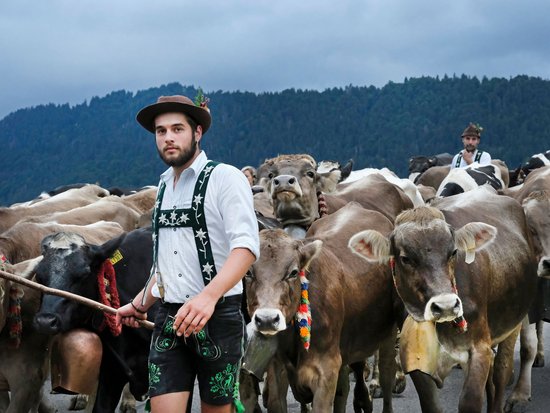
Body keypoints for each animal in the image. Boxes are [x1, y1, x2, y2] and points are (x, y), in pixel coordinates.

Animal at [248, 203, 404, 412]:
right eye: (248, 272)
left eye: (293, 272)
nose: (267, 319)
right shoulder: (276, 371)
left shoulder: (325, 372)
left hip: (387, 333)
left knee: (386, 374)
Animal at [350, 187, 540, 412]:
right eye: (405, 258)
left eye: (453, 252)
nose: (446, 306)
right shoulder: (417, 359)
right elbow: (431, 404)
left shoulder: (479, 348)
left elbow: (470, 402)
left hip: (513, 323)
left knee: (501, 371)